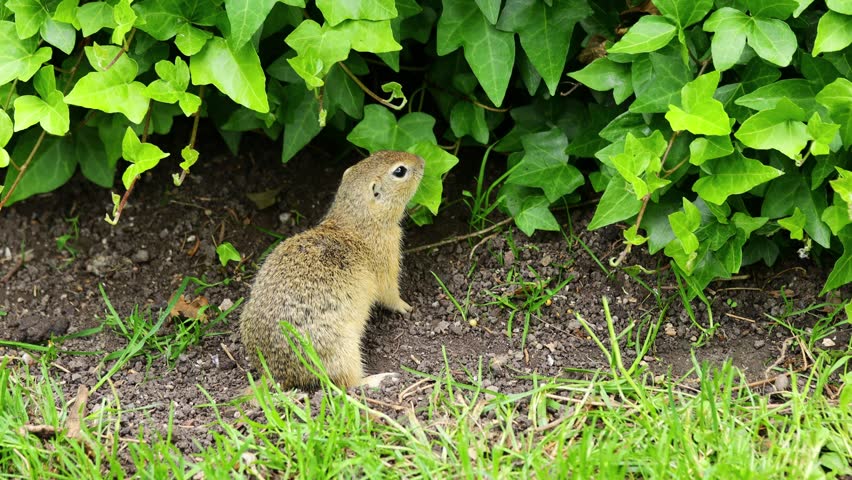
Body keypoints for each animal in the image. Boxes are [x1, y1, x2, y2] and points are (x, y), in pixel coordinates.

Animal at [239, 150, 425, 389]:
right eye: (400, 171)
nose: (422, 162)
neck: (358, 219)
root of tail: (278, 375)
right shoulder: (386, 265)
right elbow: (390, 295)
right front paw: (407, 307)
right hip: (344, 349)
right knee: (348, 384)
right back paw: (380, 379)